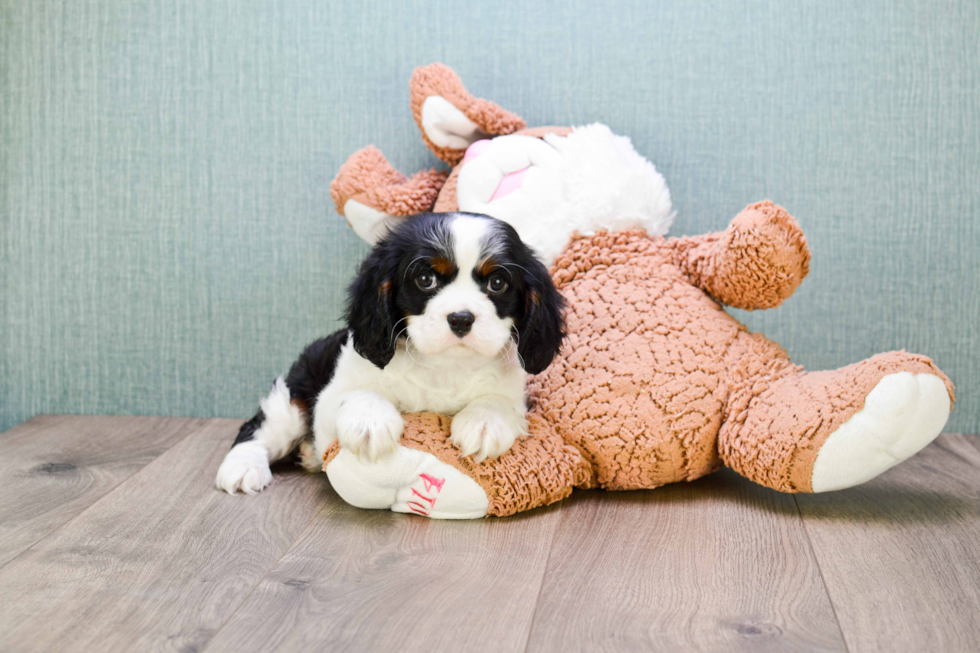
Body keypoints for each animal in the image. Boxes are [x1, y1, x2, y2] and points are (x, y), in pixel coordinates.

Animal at [217, 214, 564, 494]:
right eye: (425, 279)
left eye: (497, 283)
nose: (461, 318)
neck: (443, 366)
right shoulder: (330, 398)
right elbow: (355, 395)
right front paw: (370, 421)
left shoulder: (514, 396)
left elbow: (499, 402)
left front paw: (484, 423)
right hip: (293, 399)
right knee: (257, 429)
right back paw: (242, 467)